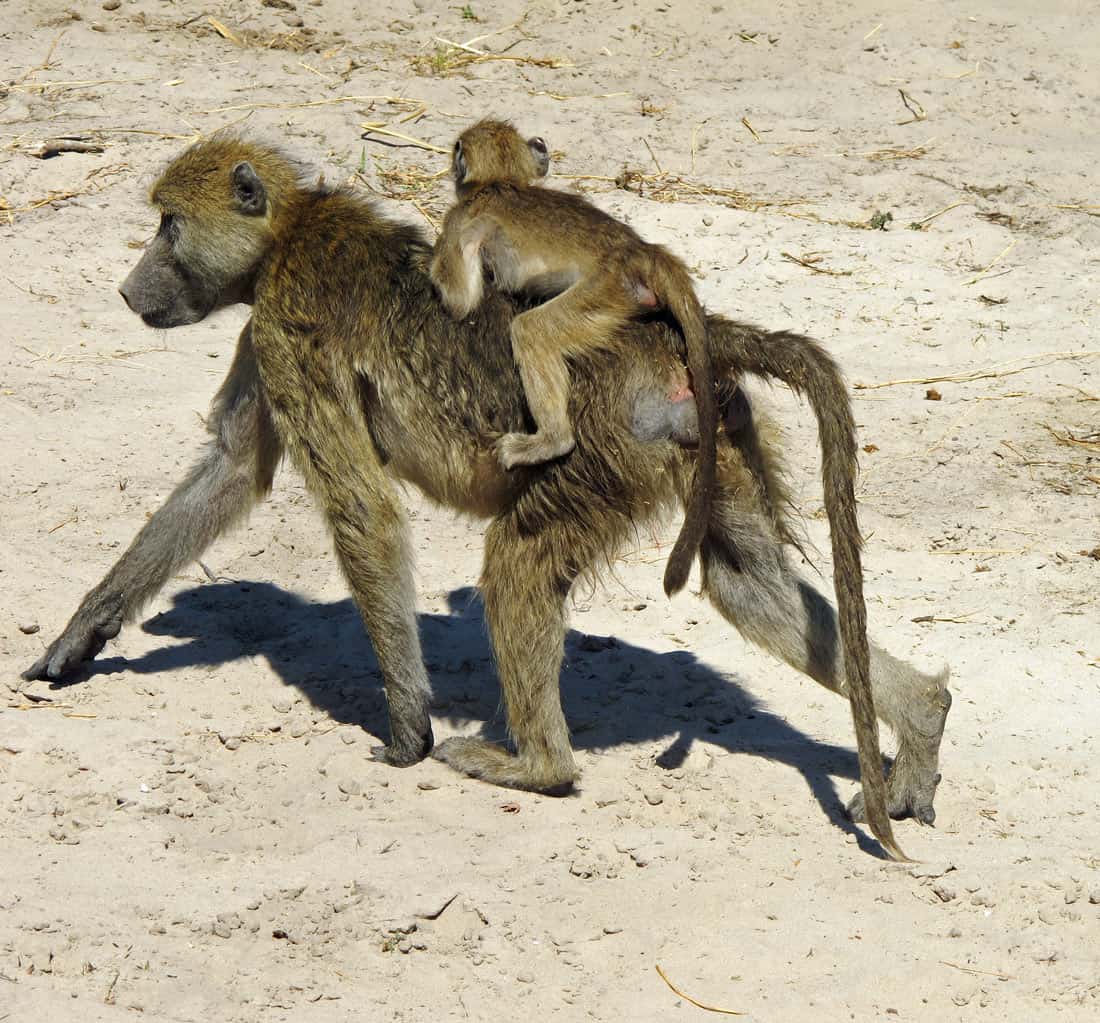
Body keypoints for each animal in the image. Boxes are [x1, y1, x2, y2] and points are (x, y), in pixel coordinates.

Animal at [429, 119, 718, 599]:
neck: (501, 183)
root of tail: (639, 249)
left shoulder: (458, 223)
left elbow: (460, 302)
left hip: (603, 292)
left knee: (530, 331)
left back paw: (550, 440)